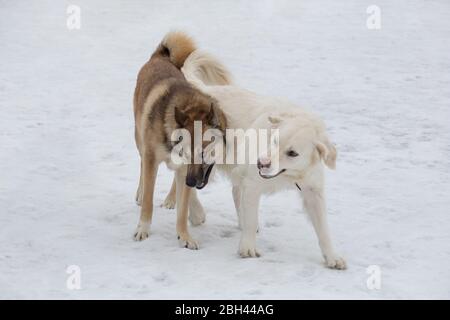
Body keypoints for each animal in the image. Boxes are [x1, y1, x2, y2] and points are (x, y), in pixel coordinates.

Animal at [133, 32, 225, 249]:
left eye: (203, 153)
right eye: (187, 152)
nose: (191, 182)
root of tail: (161, 55)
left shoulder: (185, 170)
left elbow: (183, 210)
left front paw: (184, 236)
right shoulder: (152, 160)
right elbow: (148, 200)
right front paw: (143, 229)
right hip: (139, 138)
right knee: (141, 165)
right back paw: (140, 193)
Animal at [171, 50, 344, 268]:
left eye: (293, 153)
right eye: (275, 141)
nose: (261, 163)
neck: (290, 175)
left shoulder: (313, 191)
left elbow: (323, 229)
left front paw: (332, 257)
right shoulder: (253, 183)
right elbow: (251, 217)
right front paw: (247, 247)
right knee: (187, 182)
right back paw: (196, 213)